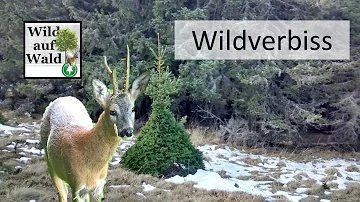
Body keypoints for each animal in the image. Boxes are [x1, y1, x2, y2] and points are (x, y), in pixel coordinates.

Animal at [40, 52, 149, 201]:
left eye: (133, 109)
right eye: (112, 111)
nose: (128, 131)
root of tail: (62, 98)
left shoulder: (99, 186)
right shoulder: (76, 186)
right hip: (49, 160)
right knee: (62, 193)